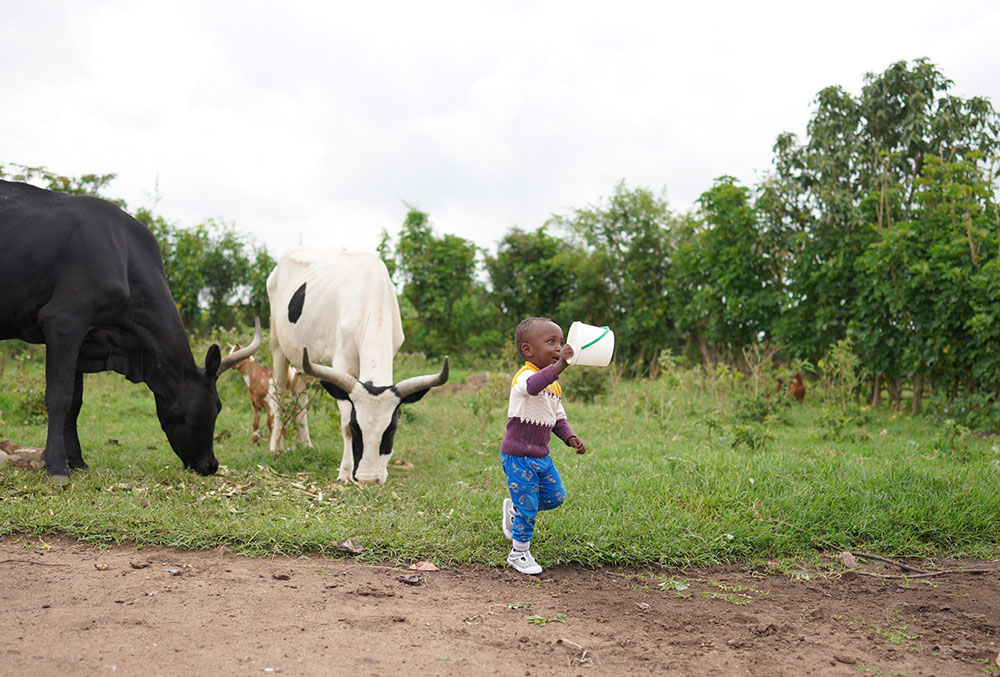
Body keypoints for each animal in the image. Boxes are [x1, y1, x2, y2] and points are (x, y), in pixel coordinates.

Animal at [0, 182, 262, 484]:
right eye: (216, 405)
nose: (210, 465)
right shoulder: (63, 321)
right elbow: (59, 397)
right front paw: (57, 467)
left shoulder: (84, 340)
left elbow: (75, 403)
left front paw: (77, 461)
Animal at [270, 251, 450, 484]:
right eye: (356, 428)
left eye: (391, 430)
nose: (368, 479)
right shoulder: (342, 366)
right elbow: (343, 424)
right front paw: (345, 473)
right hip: (277, 344)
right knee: (279, 391)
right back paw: (275, 446)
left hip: (305, 357)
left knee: (299, 390)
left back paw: (305, 444)